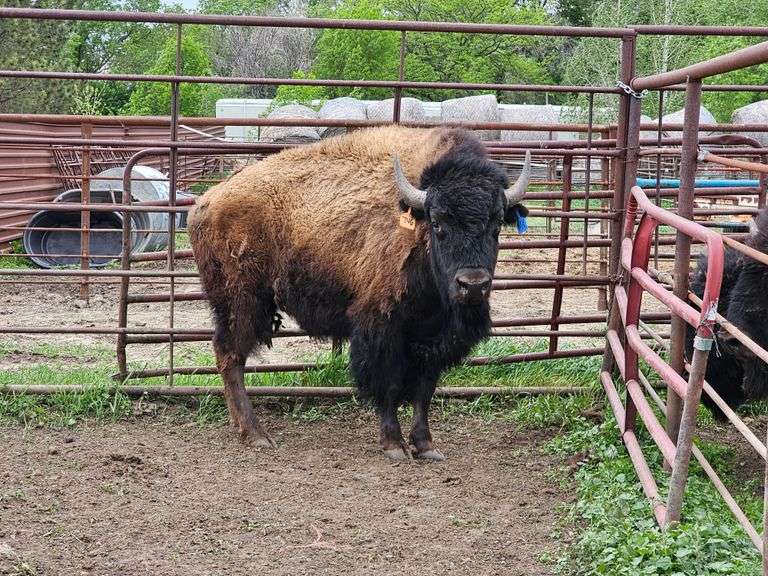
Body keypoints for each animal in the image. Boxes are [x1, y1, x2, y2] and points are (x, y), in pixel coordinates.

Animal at [188, 125, 531, 460]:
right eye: (437, 223)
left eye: (497, 224)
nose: (472, 285)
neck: (414, 224)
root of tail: (206, 202)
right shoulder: (381, 327)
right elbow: (388, 384)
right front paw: (394, 446)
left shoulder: (433, 337)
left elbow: (424, 390)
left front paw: (425, 446)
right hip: (242, 303)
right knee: (230, 356)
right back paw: (256, 434)